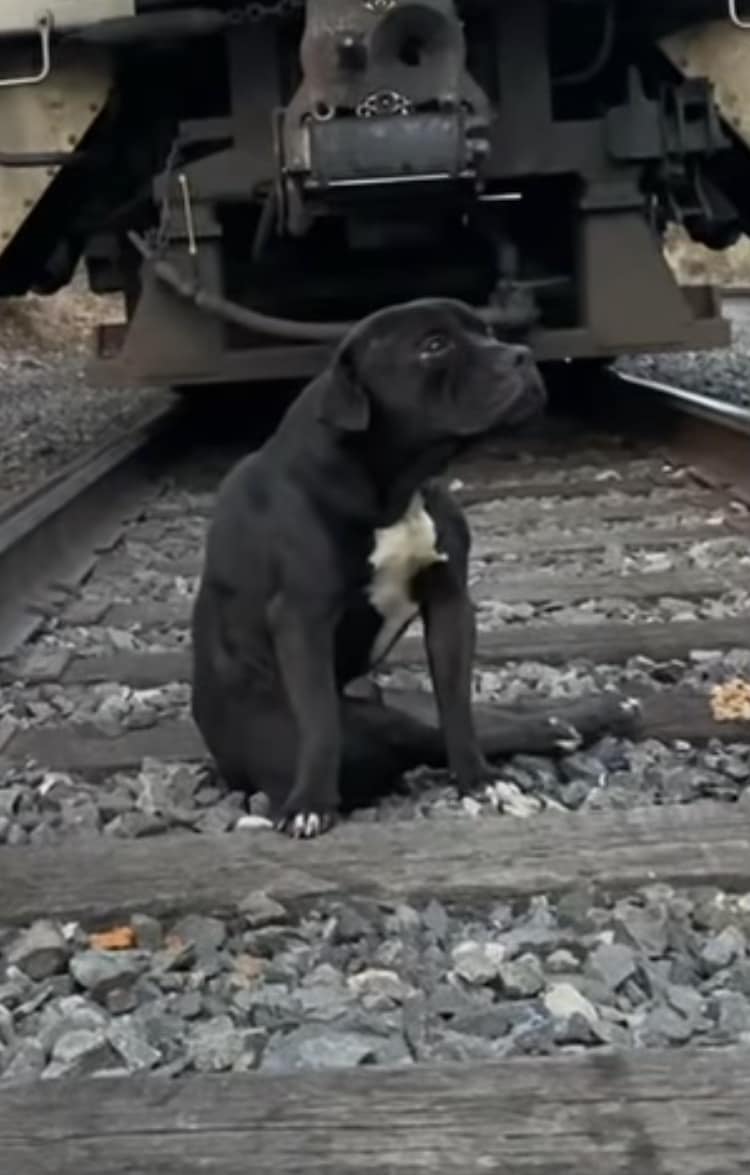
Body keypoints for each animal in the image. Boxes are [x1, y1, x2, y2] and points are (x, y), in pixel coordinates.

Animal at [190, 300, 639, 836]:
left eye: (487, 331)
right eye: (433, 345)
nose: (521, 355)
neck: (396, 486)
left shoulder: (449, 602)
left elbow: (457, 705)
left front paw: (478, 780)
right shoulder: (303, 618)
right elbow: (320, 720)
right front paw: (310, 803)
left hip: (400, 707)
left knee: (475, 719)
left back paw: (592, 712)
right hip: (368, 724)